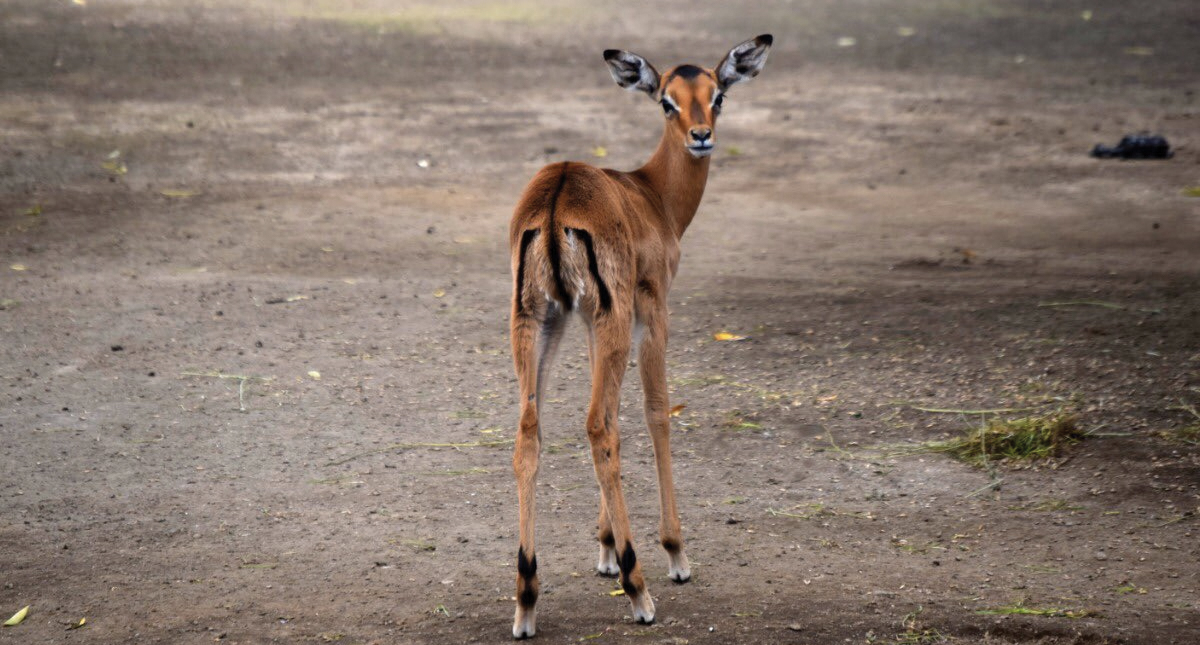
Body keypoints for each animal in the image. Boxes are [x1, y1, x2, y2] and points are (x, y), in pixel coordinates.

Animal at [507, 35, 773, 639]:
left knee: (533, 431)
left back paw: (528, 598)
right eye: (666, 102)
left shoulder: (588, 321)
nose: (701, 135)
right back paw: (640, 591)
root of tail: (555, 201)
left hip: (538, 321)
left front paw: (604, 549)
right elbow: (655, 412)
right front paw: (675, 554)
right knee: (597, 426)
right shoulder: (652, 309)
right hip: (605, 321)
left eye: (717, 95)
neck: (651, 196)